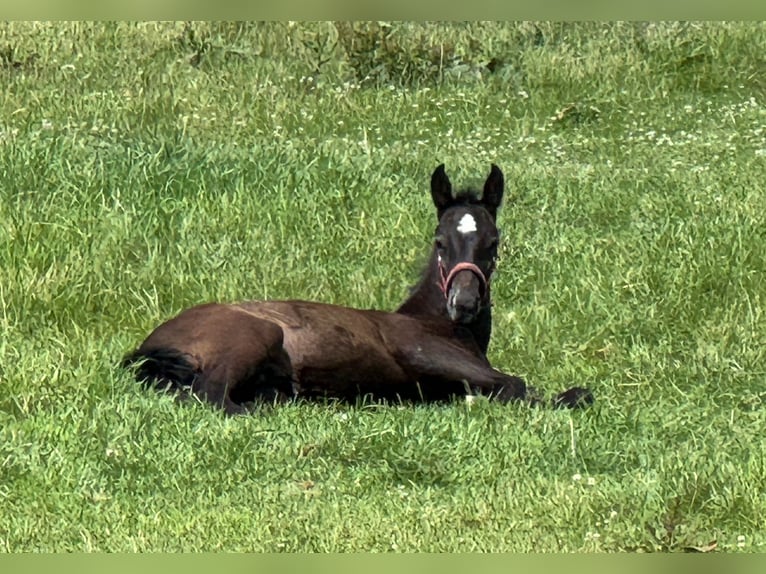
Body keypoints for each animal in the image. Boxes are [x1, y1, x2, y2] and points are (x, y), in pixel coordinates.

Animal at [123, 164, 593, 414]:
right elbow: (518, 385)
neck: (438, 324)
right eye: (440, 241)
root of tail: (148, 345)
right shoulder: (423, 354)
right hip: (256, 335)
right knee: (212, 396)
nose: (464, 303)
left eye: (492, 242)